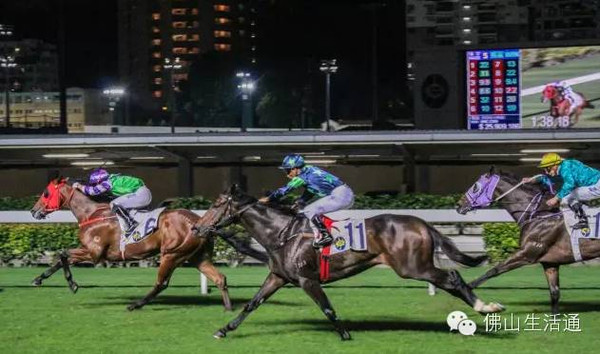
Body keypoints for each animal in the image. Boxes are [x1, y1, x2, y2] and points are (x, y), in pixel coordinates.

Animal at [29, 176, 234, 310]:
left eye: (46, 193)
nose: (33, 211)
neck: (91, 214)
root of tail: (200, 221)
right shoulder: (89, 251)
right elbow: (60, 259)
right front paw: (38, 279)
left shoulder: (95, 253)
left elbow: (63, 254)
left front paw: (72, 284)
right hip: (198, 257)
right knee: (220, 278)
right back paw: (228, 309)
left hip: (171, 254)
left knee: (161, 283)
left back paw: (135, 305)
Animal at [199, 185, 504, 340]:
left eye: (216, 205)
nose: (199, 228)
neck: (282, 233)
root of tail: (423, 223)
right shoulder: (278, 276)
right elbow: (252, 303)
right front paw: (224, 329)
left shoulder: (307, 279)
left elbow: (327, 307)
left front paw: (345, 334)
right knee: (451, 279)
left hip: (412, 268)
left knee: (452, 277)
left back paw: (486, 307)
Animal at [458, 170, 600, 314]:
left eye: (475, 187)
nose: (459, 205)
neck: (539, 214)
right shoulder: (550, 263)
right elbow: (554, 293)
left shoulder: (527, 253)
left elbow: (494, 270)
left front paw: (465, 289)